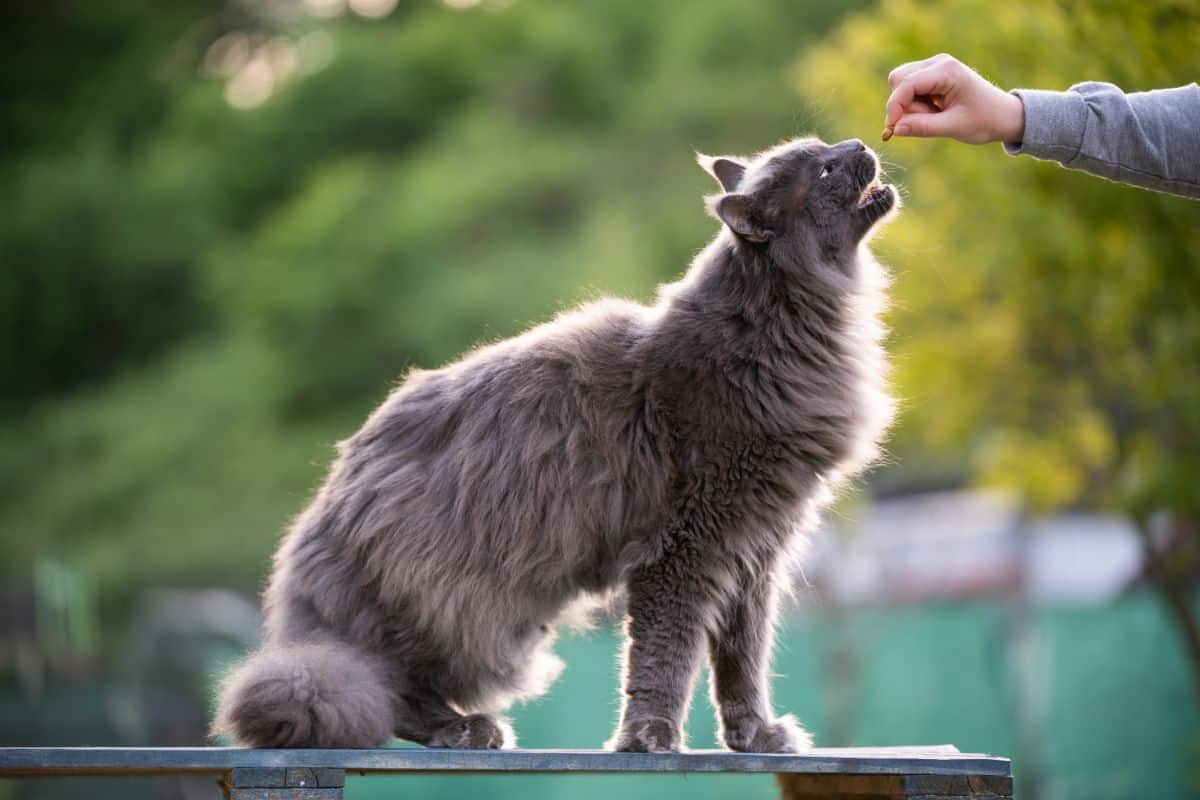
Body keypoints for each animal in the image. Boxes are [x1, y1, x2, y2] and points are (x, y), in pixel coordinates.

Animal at [213, 134, 902, 753]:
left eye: (831, 148)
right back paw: (465, 730)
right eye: (825, 169)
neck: (776, 326)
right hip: (463, 608)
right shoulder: (687, 546)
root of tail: (320, 520)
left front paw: (755, 737)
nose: (862, 142)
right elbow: (666, 654)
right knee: (392, 689)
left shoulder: (756, 551)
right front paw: (650, 738)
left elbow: (742, 662)